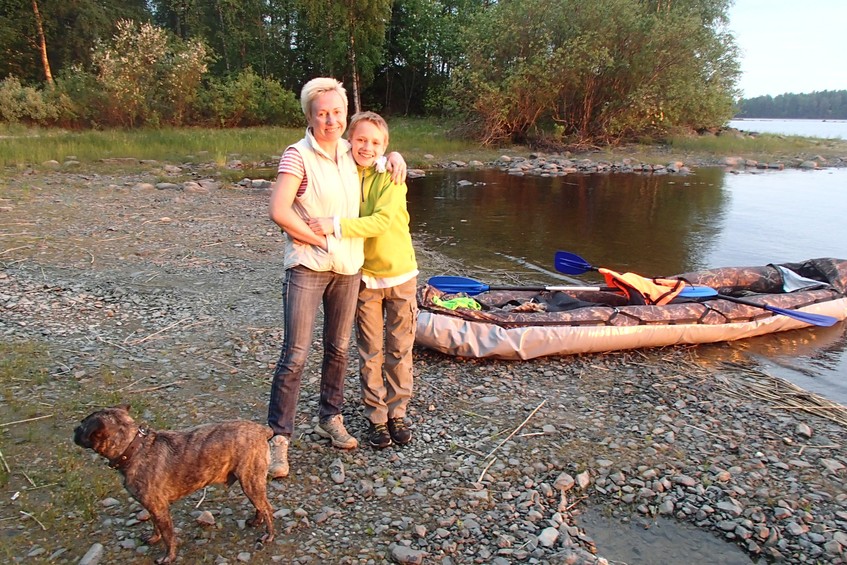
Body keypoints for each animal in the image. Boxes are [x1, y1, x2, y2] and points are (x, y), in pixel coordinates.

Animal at [73, 405, 275, 564]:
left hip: (250, 482)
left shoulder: (159, 509)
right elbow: (156, 527)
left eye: (82, 425)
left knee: (267, 508)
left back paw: (269, 534)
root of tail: (263, 431)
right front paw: (153, 538)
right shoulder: (153, 508)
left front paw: (168, 557)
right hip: (251, 484)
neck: (135, 448)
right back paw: (256, 521)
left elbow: (168, 536)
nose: (74, 430)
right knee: (260, 506)